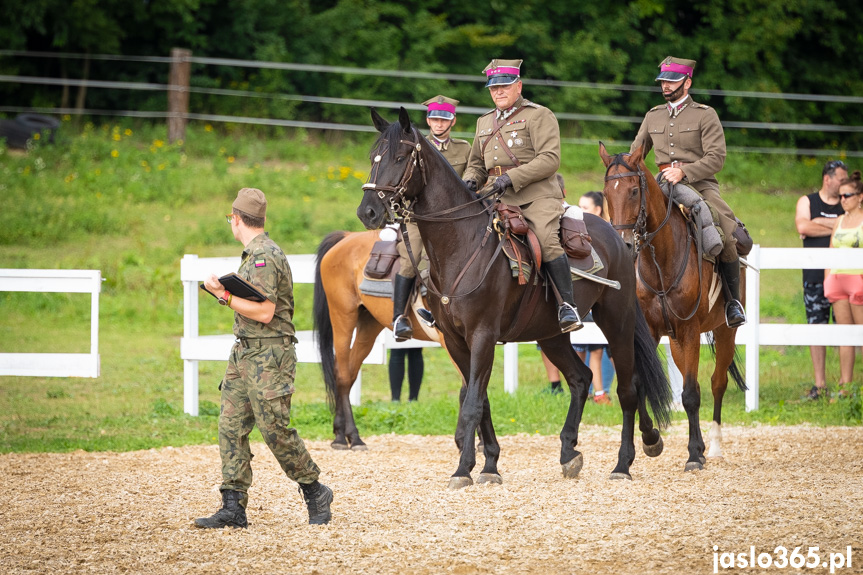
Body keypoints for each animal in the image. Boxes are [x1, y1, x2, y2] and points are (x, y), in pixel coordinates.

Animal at [314, 230, 442, 450]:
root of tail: (347, 236)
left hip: (368, 325)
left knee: (350, 373)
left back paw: (346, 434)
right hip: (343, 318)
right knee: (342, 373)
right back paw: (346, 437)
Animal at [358, 106, 676, 488]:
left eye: (400, 156)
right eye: (373, 158)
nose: (368, 211)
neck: (461, 244)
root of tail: (617, 236)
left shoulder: (482, 335)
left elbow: (472, 402)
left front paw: (464, 469)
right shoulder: (456, 340)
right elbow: (480, 400)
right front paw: (489, 464)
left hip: (617, 321)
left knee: (629, 387)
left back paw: (624, 462)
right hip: (551, 334)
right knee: (581, 379)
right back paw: (570, 451)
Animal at [596, 142, 744, 470]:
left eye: (633, 191)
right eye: (606, 192)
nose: (623, 244)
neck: (660, 261)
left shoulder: (689, 330)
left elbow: (690, 394)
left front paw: (694, 454)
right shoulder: (651, 332)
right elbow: (640, 385)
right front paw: (649, 440)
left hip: (724, 332)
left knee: (716, 383)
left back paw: (714, 446)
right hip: (676, 341)